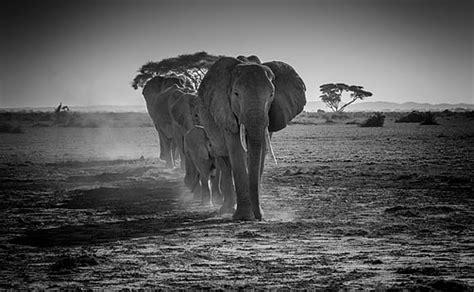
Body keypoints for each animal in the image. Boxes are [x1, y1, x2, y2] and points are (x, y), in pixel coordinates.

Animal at [197, 55, 306, 219]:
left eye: (271, 95)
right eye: (236, 94)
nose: (260, 217)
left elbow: (261, 150)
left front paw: (256, 213)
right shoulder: (226, 111)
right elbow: (236, 149)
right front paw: (244, 217)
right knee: (224, 160)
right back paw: (226, 210)